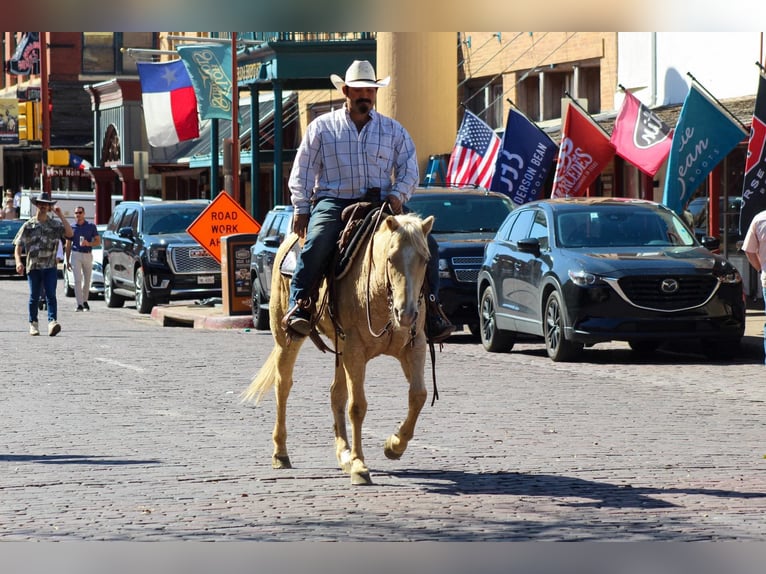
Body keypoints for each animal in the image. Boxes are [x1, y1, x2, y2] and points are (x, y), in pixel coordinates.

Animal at [242, 210, 435, 485]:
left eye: (426, 259)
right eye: (391, 257)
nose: (406, 313)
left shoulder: (414, 346)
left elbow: (418, 395)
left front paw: (394, 446)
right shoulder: (355, 350)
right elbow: (357, 406)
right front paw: (359, 465)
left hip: (340, 349)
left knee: (336, 393)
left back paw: (343, 454)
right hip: (286, 336)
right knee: (283, 385)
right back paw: (281, 453)